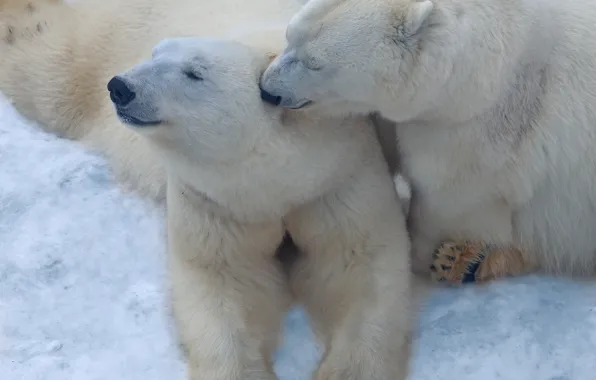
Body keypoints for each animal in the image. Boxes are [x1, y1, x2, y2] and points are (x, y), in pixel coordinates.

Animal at [260, 0, 596, 282]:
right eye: (290, 35)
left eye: (315, 63)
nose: (267, 89)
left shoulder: (476, 131)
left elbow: (446, 200)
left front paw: (420, 256)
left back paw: (463, 259)